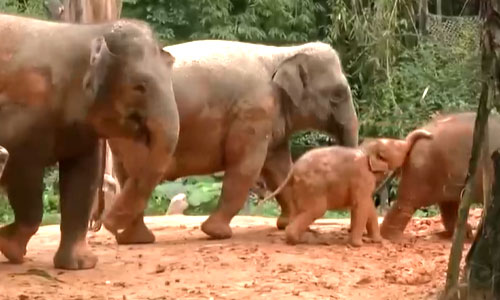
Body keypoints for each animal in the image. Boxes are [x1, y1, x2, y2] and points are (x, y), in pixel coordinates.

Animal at [0, 14, 179, 270]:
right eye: (139, 87)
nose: (110, 224)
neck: (92, 32)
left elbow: (83, 176)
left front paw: (80, 264)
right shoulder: (22, 111)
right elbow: (22, 169)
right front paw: (11, 249)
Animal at [94, 39, 358, 244]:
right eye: (338, 95)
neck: (283, 53)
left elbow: (280, 168)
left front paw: (287, 223)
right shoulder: (253, 112)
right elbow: (246, 167)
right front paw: (217, 232)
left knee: (127, 176)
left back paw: (134, 239)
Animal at [264, 129, 432, 246]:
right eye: (398, 147)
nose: (430, 136)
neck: (365, 148)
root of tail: (293, 170)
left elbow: (369, 206)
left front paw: (378, 241)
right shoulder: (362, 176)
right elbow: (361, 205)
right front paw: (358, 245)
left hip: (300, 188)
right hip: (312, 187)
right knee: (316, 210)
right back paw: (301, 241)